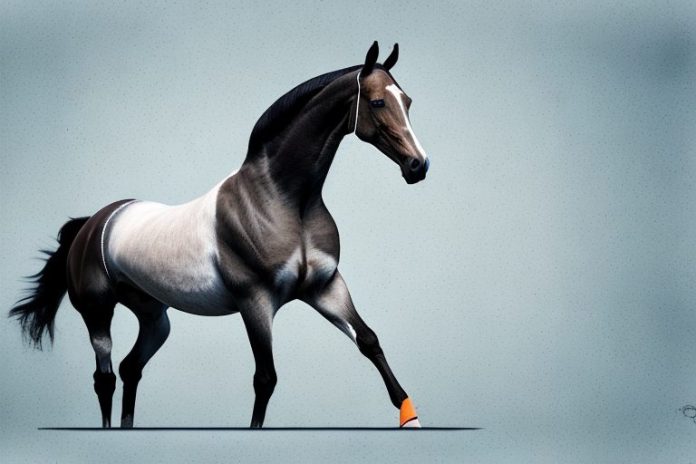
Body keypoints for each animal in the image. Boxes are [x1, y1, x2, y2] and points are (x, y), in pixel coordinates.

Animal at [9, 41, 429, 429]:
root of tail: (92, 224)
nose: (418, 165)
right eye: (377, 102)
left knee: (130, 368)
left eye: (407, 101)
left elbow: (369, 340)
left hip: (154, 318)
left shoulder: (325, 287)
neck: (285, 201)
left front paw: (411, 419)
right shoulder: (255, 301)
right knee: (105, 378)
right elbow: (265, 379)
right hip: (97, 311)